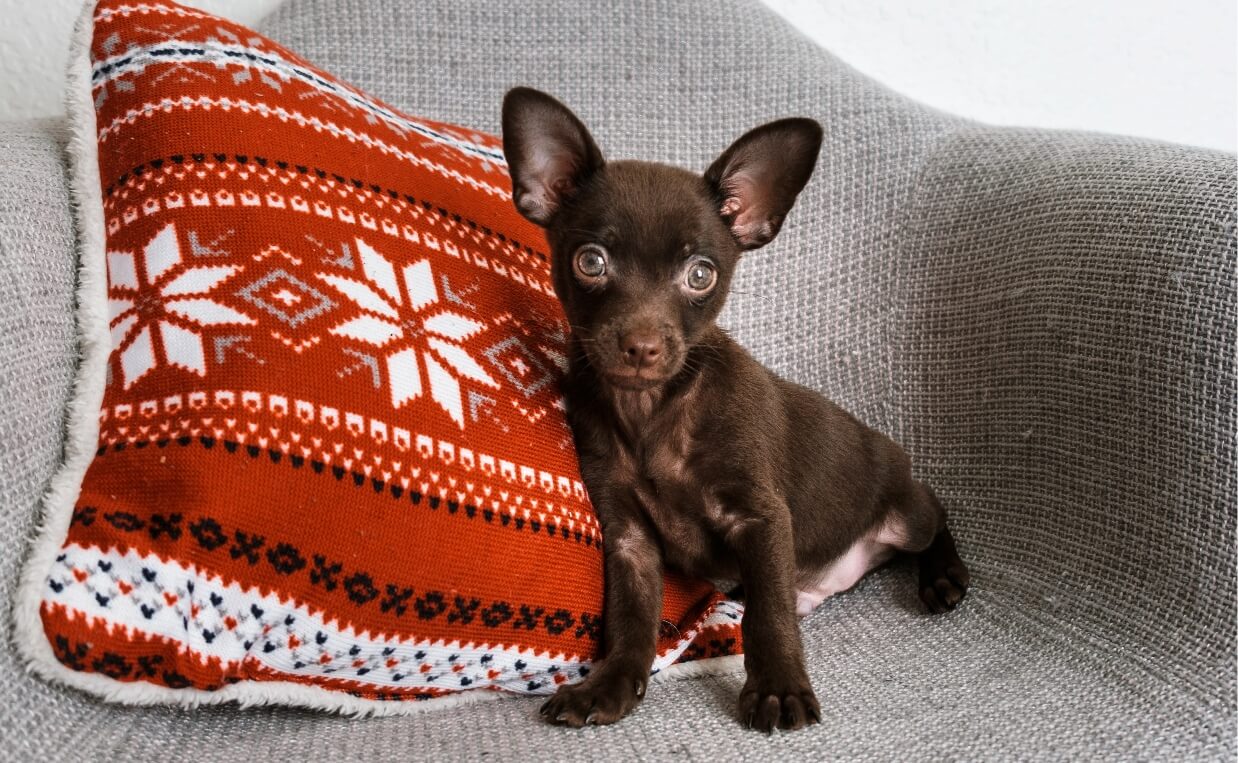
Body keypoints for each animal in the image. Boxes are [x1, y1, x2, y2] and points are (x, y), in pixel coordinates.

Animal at [500, 87, 965, 733]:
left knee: (934, 514)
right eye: (590, 262)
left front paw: (779, 688)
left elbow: (768, 616)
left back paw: (944, 575)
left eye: (701, 274)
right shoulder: (629, 539)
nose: (642, 345)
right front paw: (611, 684)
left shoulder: (760, 518)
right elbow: (632, 621)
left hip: (906, 510)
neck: (653, 411)